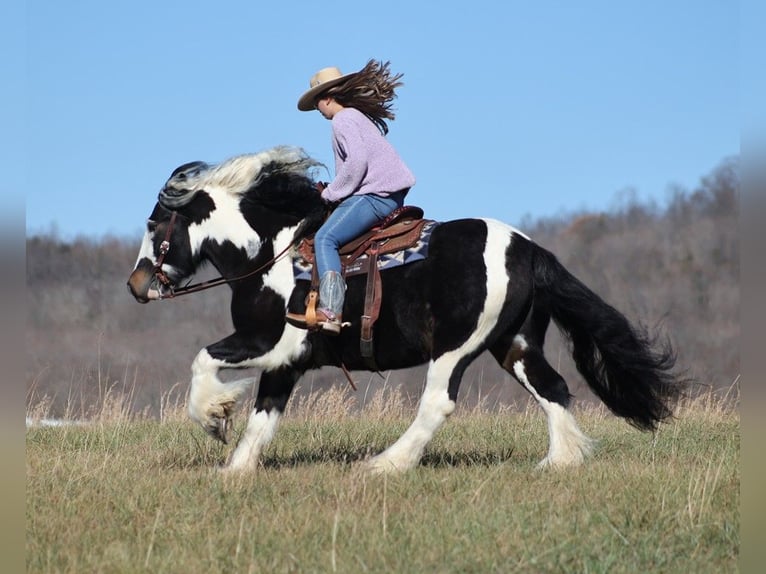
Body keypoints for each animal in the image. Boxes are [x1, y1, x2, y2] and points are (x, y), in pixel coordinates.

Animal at [129, 146, 688, 474]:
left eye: (155, 225)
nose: (136, 286)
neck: (270, 251)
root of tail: (528, 250)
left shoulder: (273, 343)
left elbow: (204, 361)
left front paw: (214, 415)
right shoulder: (287, 363)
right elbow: (264, 417)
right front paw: (236, 470)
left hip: (456, 349)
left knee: (438, 404)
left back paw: (386, 465)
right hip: (516, 344)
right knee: (553, 388)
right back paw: (560, 462)